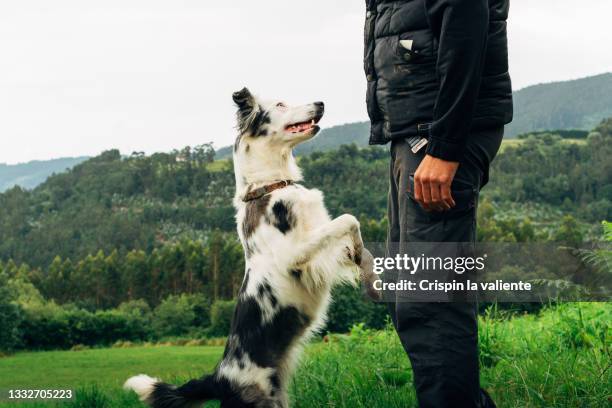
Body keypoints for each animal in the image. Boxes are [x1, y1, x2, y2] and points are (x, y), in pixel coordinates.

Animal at [123, 87, 372, 406]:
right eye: (280, 104)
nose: (321, 103)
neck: (270, 187)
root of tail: (218, 378)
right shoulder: (294, 255)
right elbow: (348, 219)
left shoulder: (318, 250)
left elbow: (352, 236)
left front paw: (366, 265)